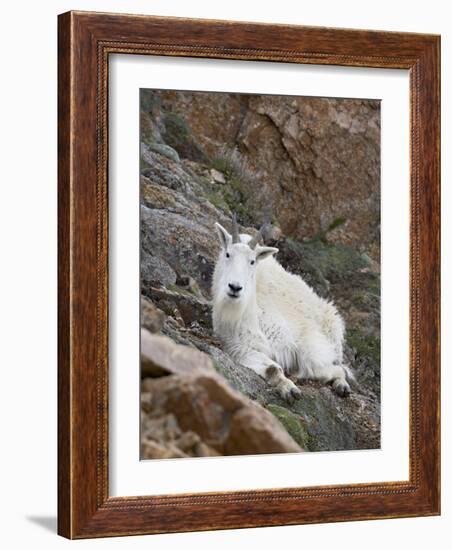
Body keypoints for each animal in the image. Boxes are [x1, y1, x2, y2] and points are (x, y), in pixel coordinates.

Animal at [212, 217, 354, 406]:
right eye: (228, 254)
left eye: (252, 261)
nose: (235, 287)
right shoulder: (240, 348)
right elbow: (272, 368)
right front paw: (290, 389)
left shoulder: (302, 342)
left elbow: (316, 365)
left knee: (338, 366)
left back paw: (342, 386)